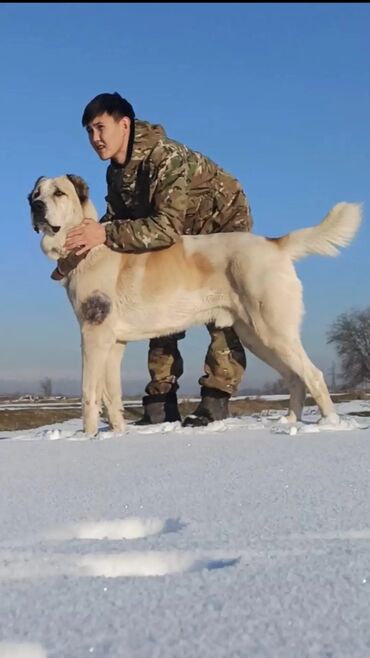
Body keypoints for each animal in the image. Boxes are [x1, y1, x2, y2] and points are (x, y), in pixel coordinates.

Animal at [28, 173, 362, 436]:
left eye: (59, 193)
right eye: (36, 194)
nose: (35, 206)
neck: (88, 250)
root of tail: (274, 243)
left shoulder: (93, 336)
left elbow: (89, 393)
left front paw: (87, 438)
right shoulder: (114, 343)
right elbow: (113, 397)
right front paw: (117, 435)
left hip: (273, 330)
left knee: (313, 375)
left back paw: (329, 424)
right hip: (256, 337)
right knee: (295, 377)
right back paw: (289, 421)